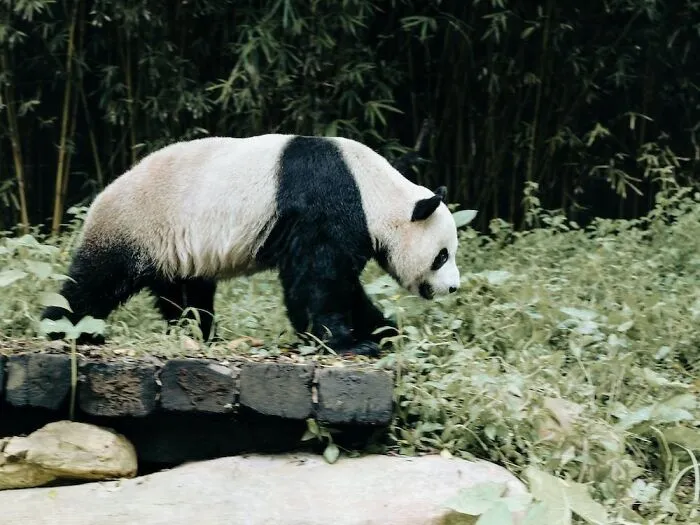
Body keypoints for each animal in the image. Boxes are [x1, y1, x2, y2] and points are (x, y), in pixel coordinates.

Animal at [41, 134, 460, 356]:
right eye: (442, 256)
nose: (453, 288)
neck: (372, 189)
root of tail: (100, 198)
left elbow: (340, 285)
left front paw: (383, 331)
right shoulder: (324, 205)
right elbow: (318, 281)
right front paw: (348, 343)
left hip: (174, 250)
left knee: (185, 296)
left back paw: (202, 335)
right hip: (137, 225)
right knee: (94, 283)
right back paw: (64, 329)